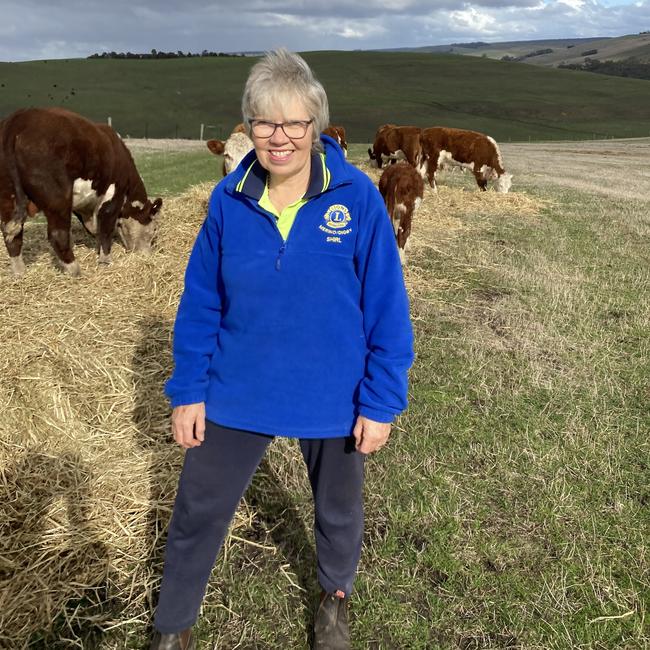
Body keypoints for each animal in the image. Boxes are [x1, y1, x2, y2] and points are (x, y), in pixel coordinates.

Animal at [0, 107, 162, 274]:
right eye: (154, 228)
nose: (147, 255)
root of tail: (18, 119)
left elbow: (95, 230)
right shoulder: (112, 197)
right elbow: (106, 230)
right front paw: (105, 261)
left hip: (8, 196)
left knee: (11, 234)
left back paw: (19, 273)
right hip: (58, 198)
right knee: (58, 234)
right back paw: (75, 270)